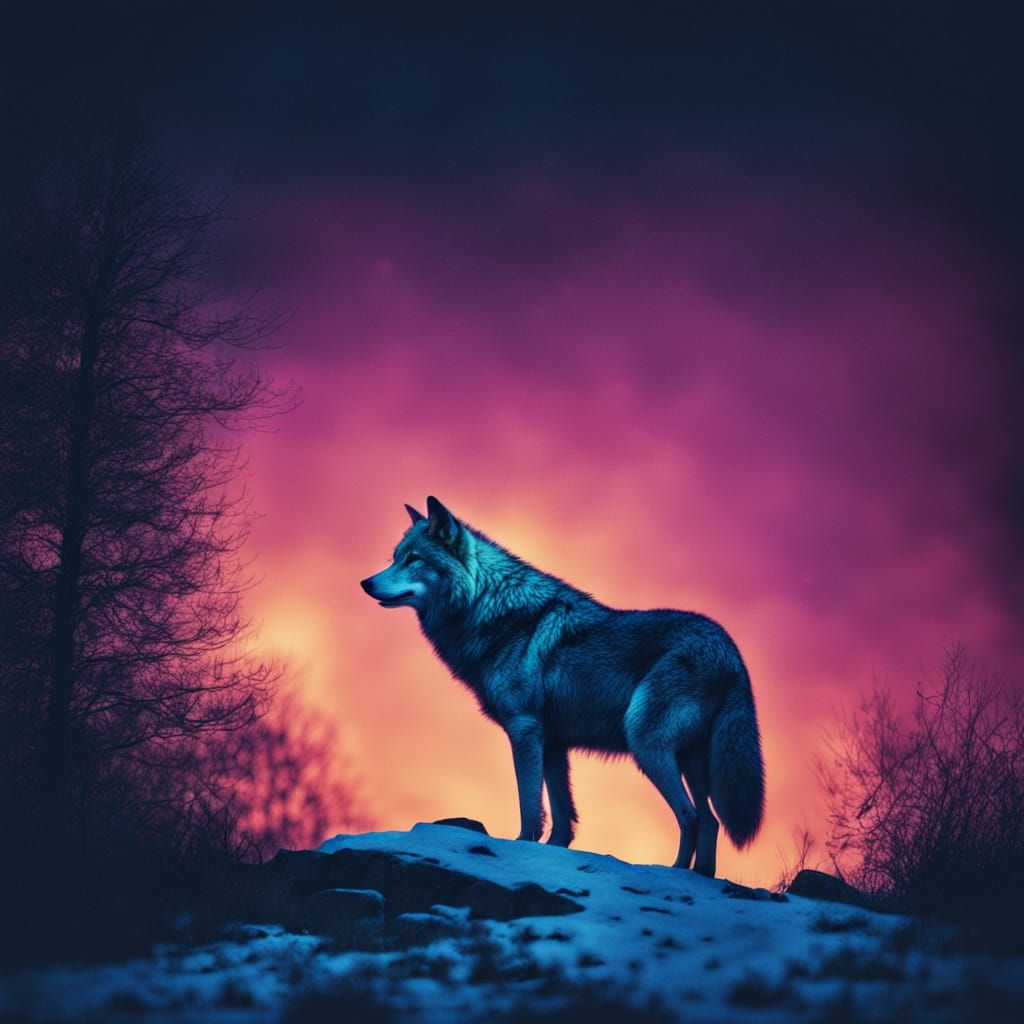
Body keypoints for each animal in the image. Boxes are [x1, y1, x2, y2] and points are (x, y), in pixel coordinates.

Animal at [360, 497, 765, 876]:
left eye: (414, 559)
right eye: (395, 558)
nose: (366, 583)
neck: (490, 609)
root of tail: (731, 653)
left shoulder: (524, 730)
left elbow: (529, 807)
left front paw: (520, 846)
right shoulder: (554, 743)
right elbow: (562, 816)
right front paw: (552, 853)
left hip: (648, 745)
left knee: (691, 817)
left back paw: (673, 872)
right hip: (690, 761)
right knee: (711, 822)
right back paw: (701, 876)